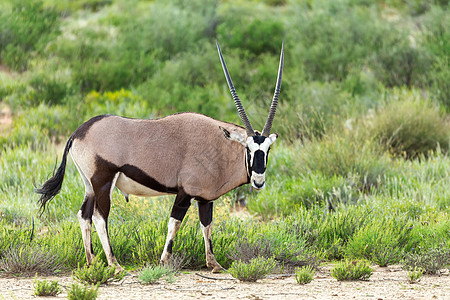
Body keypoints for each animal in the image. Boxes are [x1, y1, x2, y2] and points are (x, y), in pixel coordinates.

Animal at [35, 42, 284, 272]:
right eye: (249, 149)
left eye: (267, 150)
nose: (258, 181)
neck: (219, 145)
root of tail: (79, 132)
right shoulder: (184, 194)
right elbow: (174, 223)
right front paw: (165, 261)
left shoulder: (205, 199)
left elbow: (207, 226)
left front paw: (214, 264)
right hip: (103, 182)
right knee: (99, 217)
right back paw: (114, 264)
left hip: (89, 185)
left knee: (84, 215)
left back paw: (91, 261)